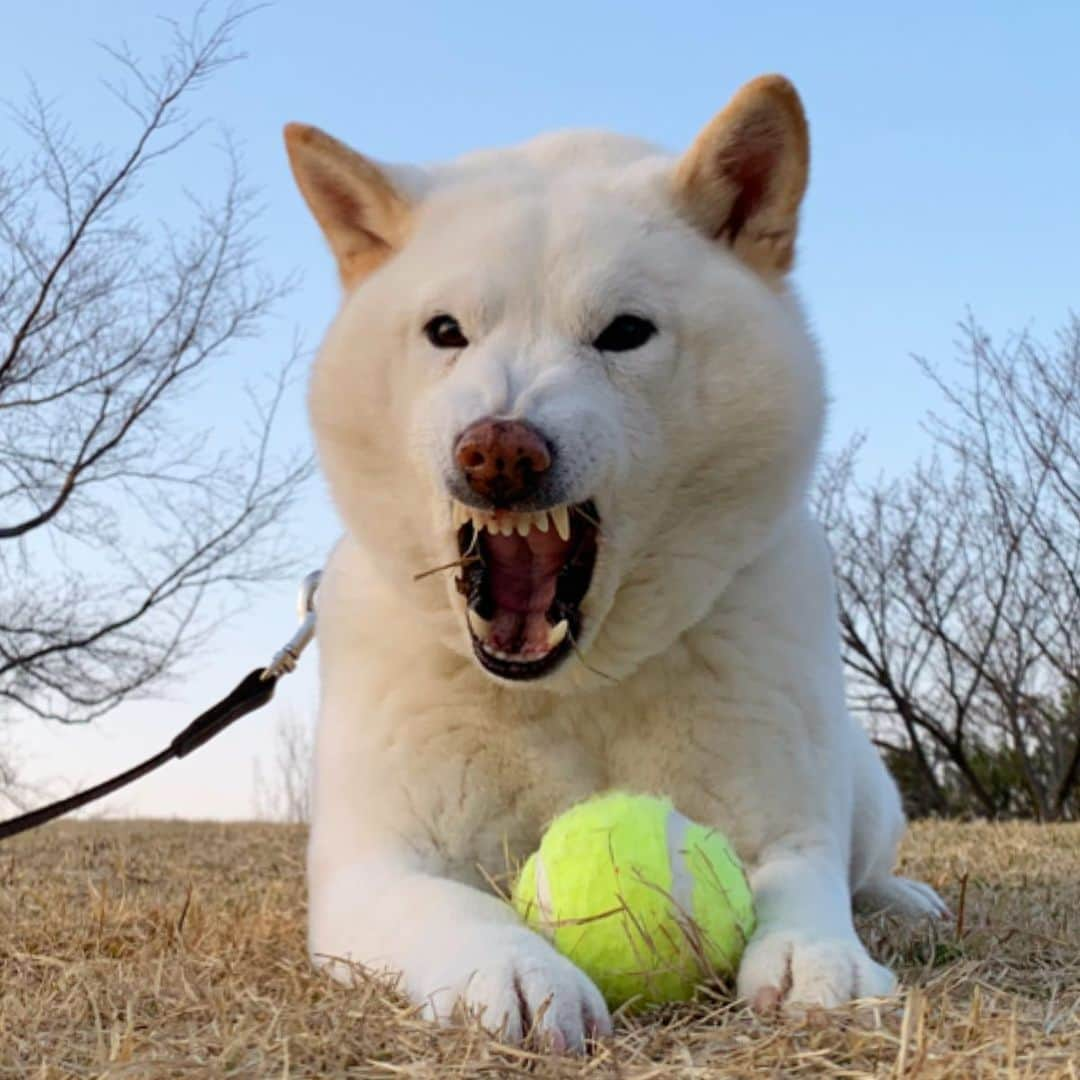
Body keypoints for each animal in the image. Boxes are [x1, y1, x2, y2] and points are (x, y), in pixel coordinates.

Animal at [285, 78, 946, 1054]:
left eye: (625, 332)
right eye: (445, 332)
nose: (498, 451)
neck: (571, 690)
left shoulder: (782, 822)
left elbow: (805, 882)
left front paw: (819, 961)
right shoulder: (374, 865)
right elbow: (454, 909)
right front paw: (514, 972)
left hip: (864, 784)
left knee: (867, 866)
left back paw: (906, 900)